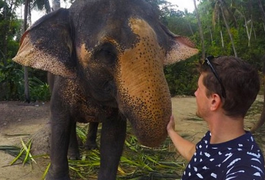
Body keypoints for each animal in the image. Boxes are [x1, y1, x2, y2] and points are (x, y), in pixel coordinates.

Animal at [13, 0, 197, 179]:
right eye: (106, 52)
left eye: (162, 48)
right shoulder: (61, 86)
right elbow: (60, 126)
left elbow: (114, 137)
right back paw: (74, 156)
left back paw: (91, 147)